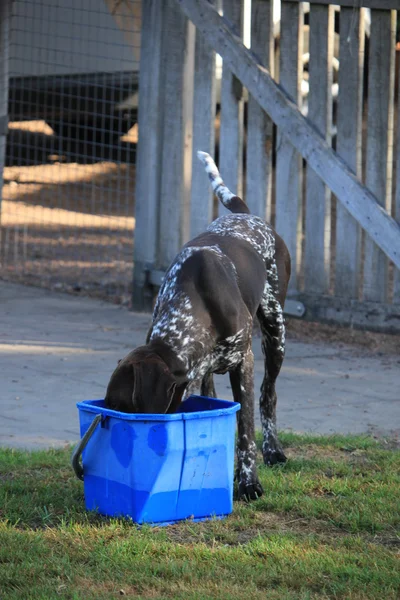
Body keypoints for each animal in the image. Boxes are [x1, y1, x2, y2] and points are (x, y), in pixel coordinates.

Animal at [104, 151, 290, 502]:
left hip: (276, 332)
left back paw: (272, 449)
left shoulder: (244, 362)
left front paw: (248, 482)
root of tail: (247, 215)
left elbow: (245, 430)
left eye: (120, 405)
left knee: (268, 394)